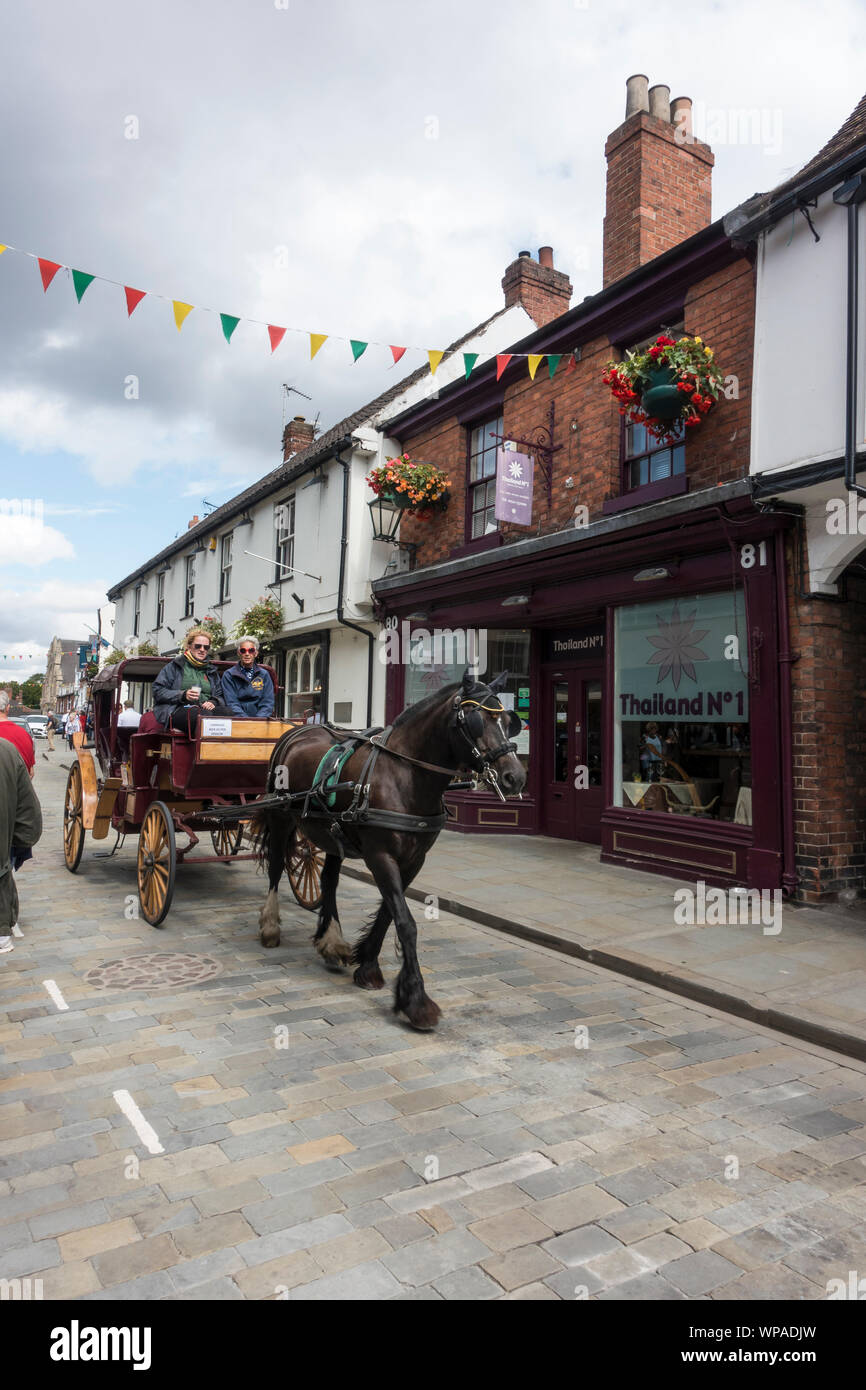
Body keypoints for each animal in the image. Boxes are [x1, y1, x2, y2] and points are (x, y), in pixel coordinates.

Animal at [247, 672, 525, 1034]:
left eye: (509, 721)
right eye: (475, 720)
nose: (515, 777)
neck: (405, 777)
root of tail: (297, 730)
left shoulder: (414, 860)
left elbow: (388, 914)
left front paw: (367, 966)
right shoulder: (379, 855)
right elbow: (405, 922)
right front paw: (416, 1002)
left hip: (332, 833)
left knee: (329, 881)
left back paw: (331, 941)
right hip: (281, 817)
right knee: (278, 866)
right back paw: (270, 927)